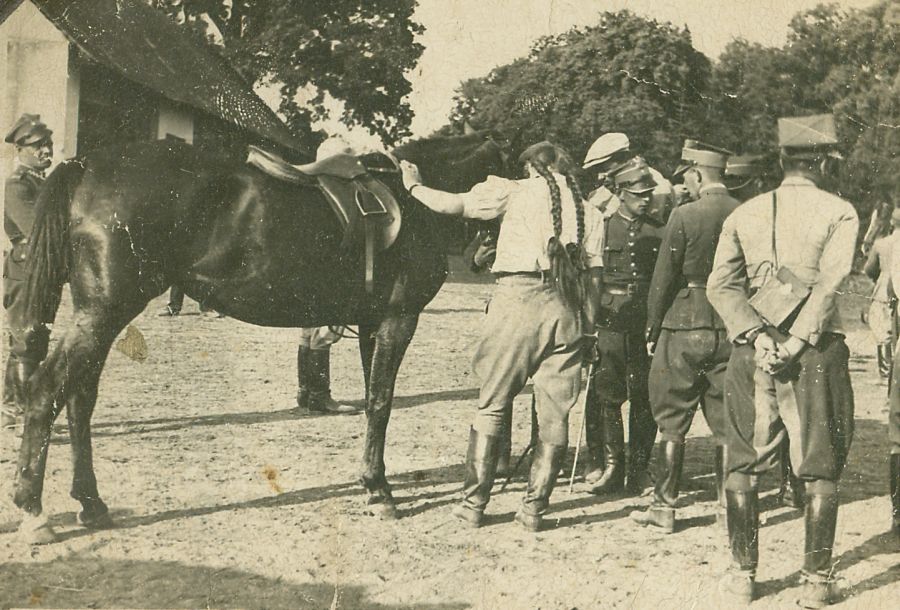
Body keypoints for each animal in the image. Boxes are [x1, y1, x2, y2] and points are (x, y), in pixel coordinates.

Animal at [11, 132, 508, 543]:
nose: (485, 259)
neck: (417, 203)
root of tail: (86, 165)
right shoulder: (398, 321)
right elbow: (382, 403)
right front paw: (379, 491)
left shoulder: (372, 324)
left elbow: (373, 402)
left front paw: (372, 482)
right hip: (105, 311)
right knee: (46, 390)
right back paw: (33, 512)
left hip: (99, 315)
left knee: (78, 399)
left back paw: (91, 504)